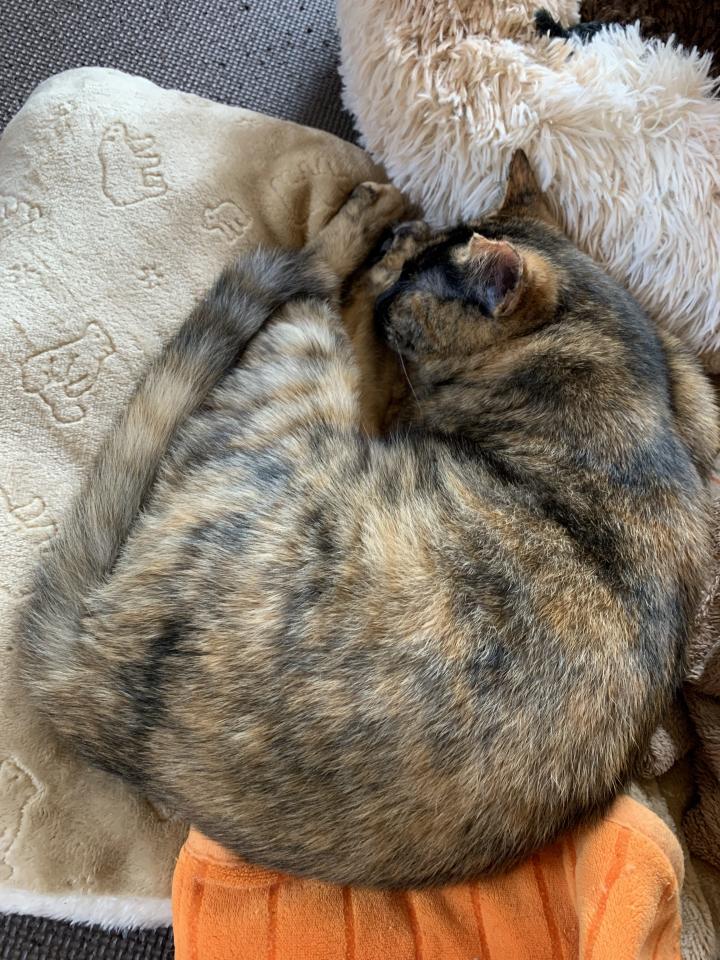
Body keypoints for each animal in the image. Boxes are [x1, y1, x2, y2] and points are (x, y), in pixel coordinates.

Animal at [18, 156, 718, 889]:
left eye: (416, 296)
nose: (403, 272)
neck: (620, 362)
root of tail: (90, 691)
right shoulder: (686, 388)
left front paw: (386, 255)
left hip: (306, 370)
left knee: (316, 285)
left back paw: (371, 217)